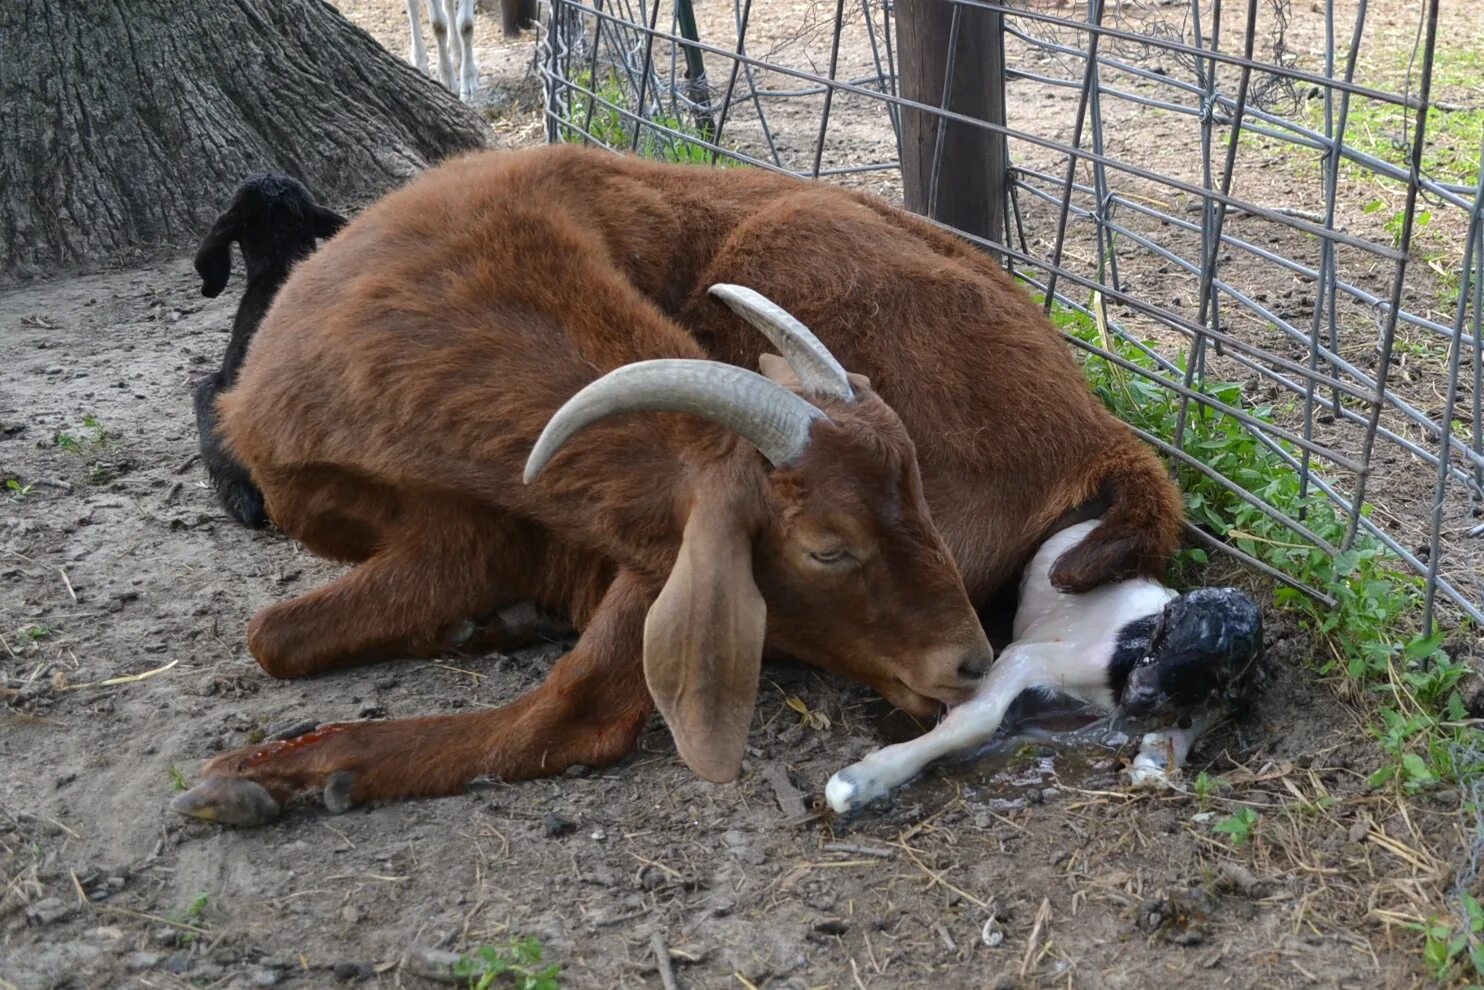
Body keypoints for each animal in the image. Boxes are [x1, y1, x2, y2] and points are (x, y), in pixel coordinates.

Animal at [825, 519, 1264, 813]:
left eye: (1213, 671)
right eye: (1166, 629)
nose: (1141, 691)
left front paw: (1154, 763)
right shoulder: (1029, 655)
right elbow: (980, 715)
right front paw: (860, 780)